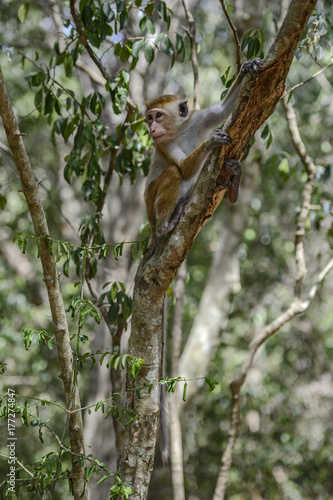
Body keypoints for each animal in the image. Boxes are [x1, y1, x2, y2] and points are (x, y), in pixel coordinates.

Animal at [144, 58, 260, 246]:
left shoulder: (197, 120)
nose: (152, 129)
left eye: (158, 116)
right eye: (149, 118)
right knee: (173, 171)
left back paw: (234, 184)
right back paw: (164, 227)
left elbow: (222, 110)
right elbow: (184, 169)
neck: (179, 131)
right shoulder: (164, 144)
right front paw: (211, 141)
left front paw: (246, 68)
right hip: (151, 212)